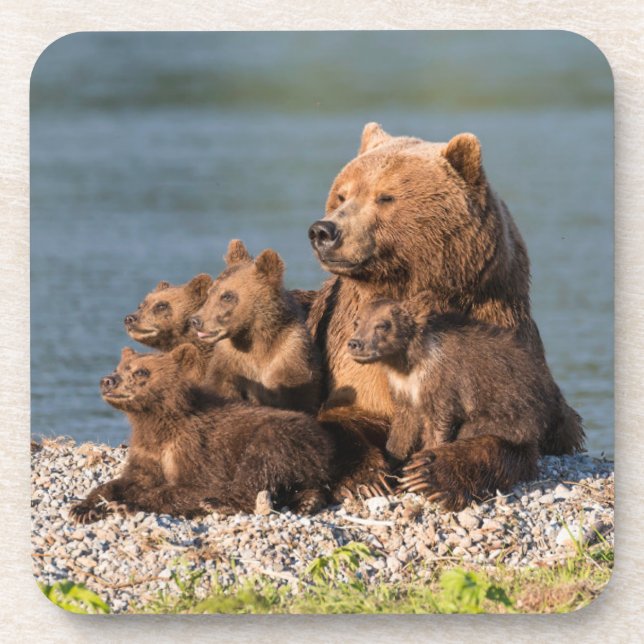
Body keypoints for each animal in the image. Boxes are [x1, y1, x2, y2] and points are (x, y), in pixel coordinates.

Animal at [69, 344, 335, 524]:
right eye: (119, 367)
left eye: (142, 372)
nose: (108, 380)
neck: (156, 420)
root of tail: (323, 436)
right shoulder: (148, 450)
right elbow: (127, 480)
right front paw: (84, 507)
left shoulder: (196, 448)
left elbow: (195, 486)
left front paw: (127, 503)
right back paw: (306, 502)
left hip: (284, 437)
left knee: (260, 467)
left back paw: (219, 503)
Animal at [190, 240, 322, 415]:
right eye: (210, 292)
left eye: (227, 296)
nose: (196, 320)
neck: (254, 339)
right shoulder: (230, 361)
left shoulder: (291, 358)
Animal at [347, 298, 563, 509]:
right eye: (357, 322)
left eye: (382, 325)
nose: (355, 343)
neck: (409, 361)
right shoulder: (404, 390)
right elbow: (402, 429)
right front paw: (390, 468)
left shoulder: (444, 383)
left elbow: (438, 425)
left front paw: (418, 467)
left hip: (513, 413)